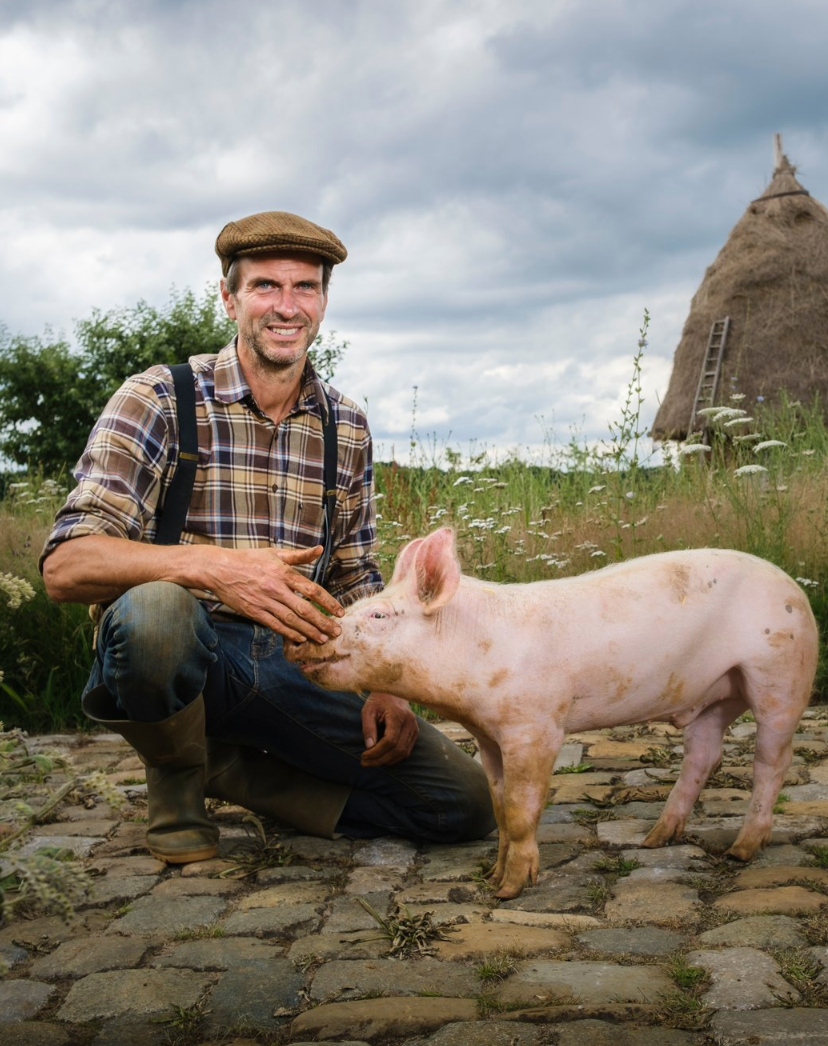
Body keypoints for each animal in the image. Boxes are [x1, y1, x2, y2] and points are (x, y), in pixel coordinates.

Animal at [287, 527, 819, 899]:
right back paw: (654, 840)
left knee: (773, 761)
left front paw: (508, 892)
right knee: (704, 755)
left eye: (378, 616)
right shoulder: (488, 736)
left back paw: (739, 852)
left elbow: (522, 811)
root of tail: (792, 584)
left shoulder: (535, 726)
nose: (301, 637)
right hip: (714, 695)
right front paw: (492, 876)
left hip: (780, 673)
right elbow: (500, 806)